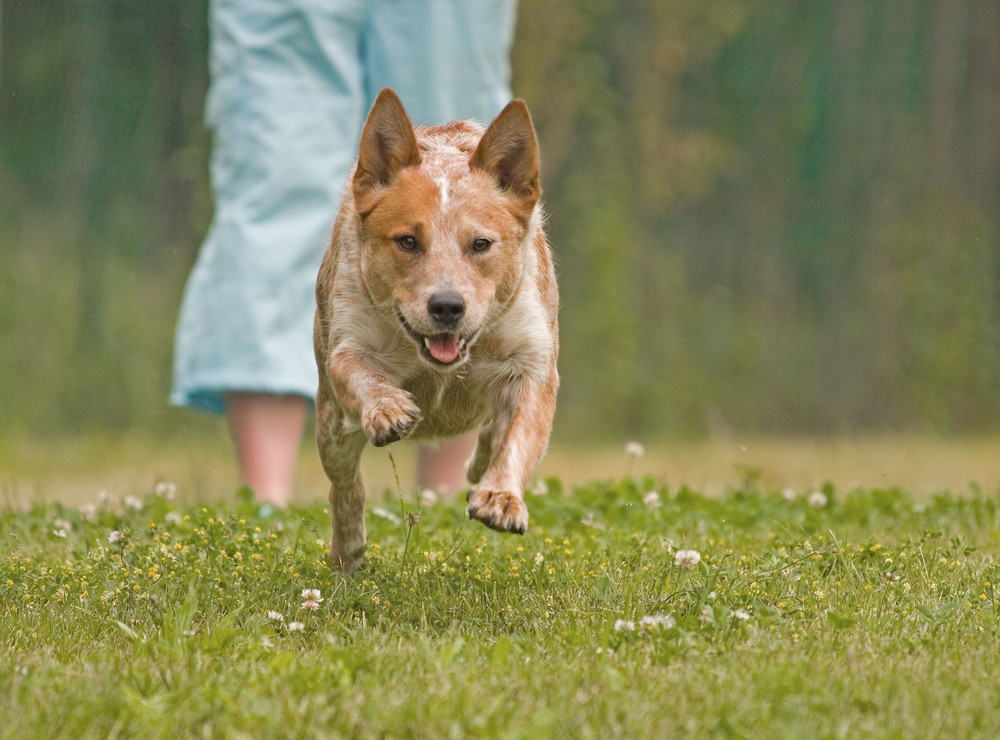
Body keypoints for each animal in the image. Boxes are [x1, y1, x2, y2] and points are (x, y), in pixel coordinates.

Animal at [312, 86, 560, 572]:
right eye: (408, 241)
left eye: (480, 243)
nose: (447, 306)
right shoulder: (348, 343)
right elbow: (360, 373)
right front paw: (389, 409)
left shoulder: (533, 360)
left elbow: (519, 432)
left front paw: (500, 498)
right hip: (331, 425)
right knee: (346, 488)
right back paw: (348, 552)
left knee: (493, 432)